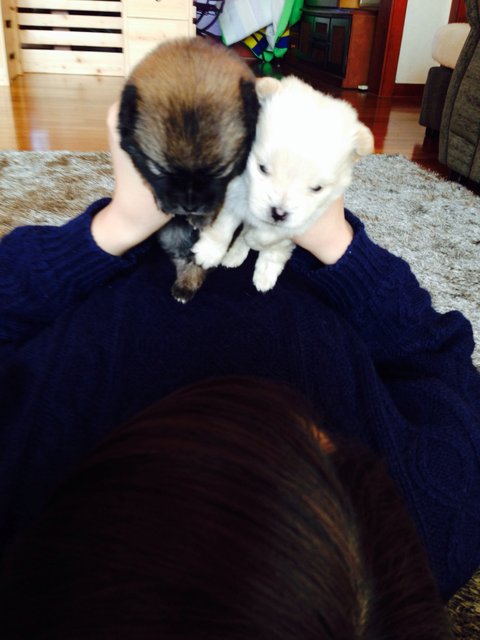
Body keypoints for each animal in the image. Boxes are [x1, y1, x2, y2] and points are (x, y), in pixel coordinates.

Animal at [193, 76, 374, 292]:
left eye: (316, 188)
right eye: (262, 168)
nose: (278, 213)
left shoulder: (307, 219)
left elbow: (271, 238)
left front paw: (254, 240)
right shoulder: (234, 194)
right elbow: (223, 228)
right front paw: (209, 252)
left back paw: (264, 273)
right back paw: (235, 255)